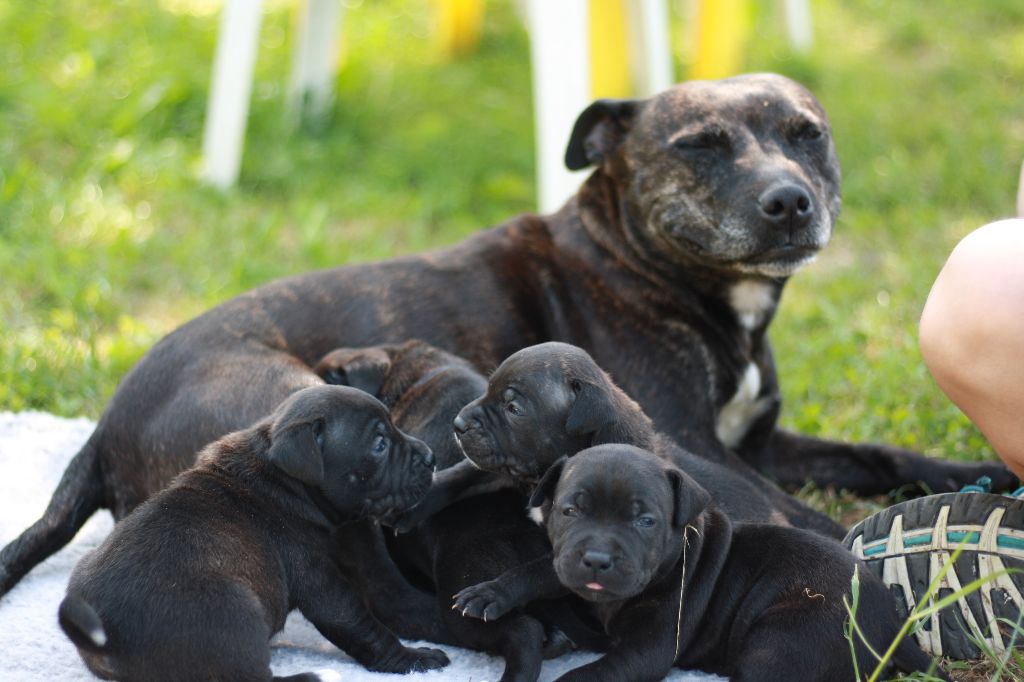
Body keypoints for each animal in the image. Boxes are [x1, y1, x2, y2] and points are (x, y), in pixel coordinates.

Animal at [0, 73, 1007, 593]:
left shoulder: (762, 438)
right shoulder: (681, 439)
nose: (790, 201)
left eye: (806, 134)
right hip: (301, 408)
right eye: (701, 146)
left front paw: (971, 477)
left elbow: (874, 455)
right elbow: (789, 510)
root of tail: (101, 430)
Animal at [58, 385, 446, 679]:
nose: (431, 457)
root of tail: (104, 635)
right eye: (380, 445)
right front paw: (413, 659)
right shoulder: (319, 581)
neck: (281, 475)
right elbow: (360, 625)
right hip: (235, 611)